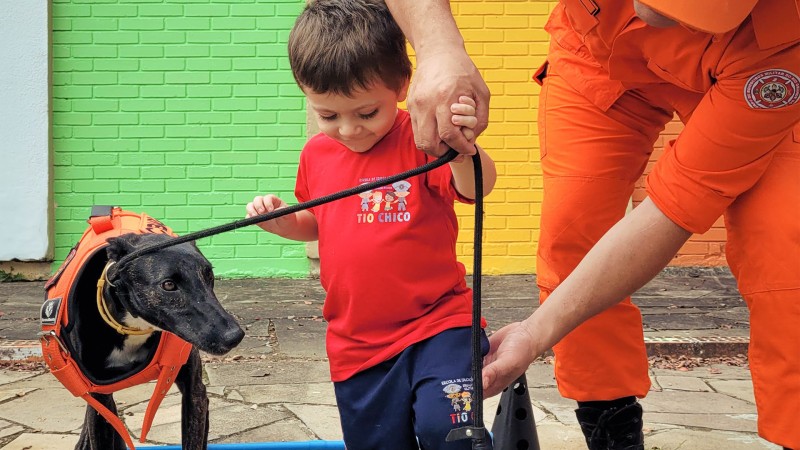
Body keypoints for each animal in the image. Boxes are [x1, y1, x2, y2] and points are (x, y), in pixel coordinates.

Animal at [69, 234, 244, 448]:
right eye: (168, 285)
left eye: (209, 276)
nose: (234, 336)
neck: (136, 327)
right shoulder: (101, 397)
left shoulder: (195, 392)